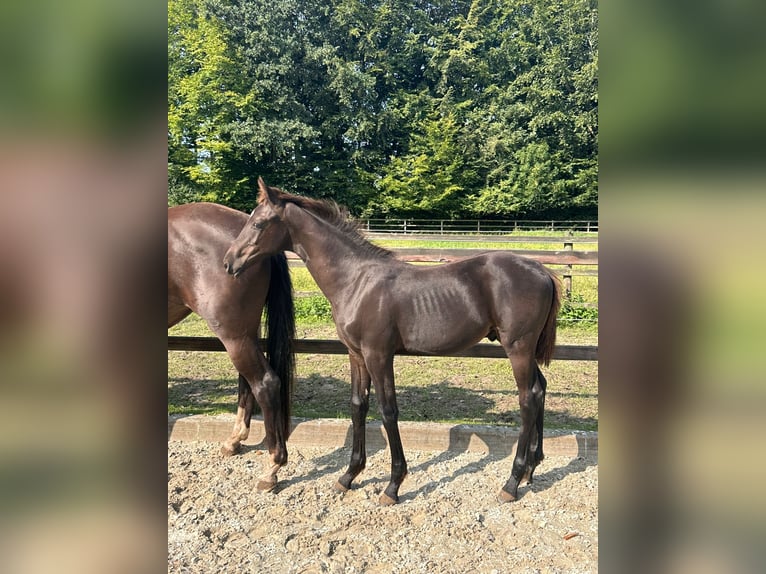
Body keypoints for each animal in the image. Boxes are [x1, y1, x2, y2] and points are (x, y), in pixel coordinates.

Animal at [170, 202, 296, 490]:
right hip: (244, 333)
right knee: (247, 382)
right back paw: (235, 440)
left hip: (233, 334)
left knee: (264, 382)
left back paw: (272, 467)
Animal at [224, 181, 564, 508]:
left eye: (258, 223)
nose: (228, 263)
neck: (356, 280)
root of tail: (542, 270)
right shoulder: (356, 354)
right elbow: (358, 406)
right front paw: (348, 476)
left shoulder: (379, 354)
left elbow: (388, 411)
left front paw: (392, 485)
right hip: (525, 350)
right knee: (540, 389)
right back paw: (532, 469)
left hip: (518, 347)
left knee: (528, 397)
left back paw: (511, 483)